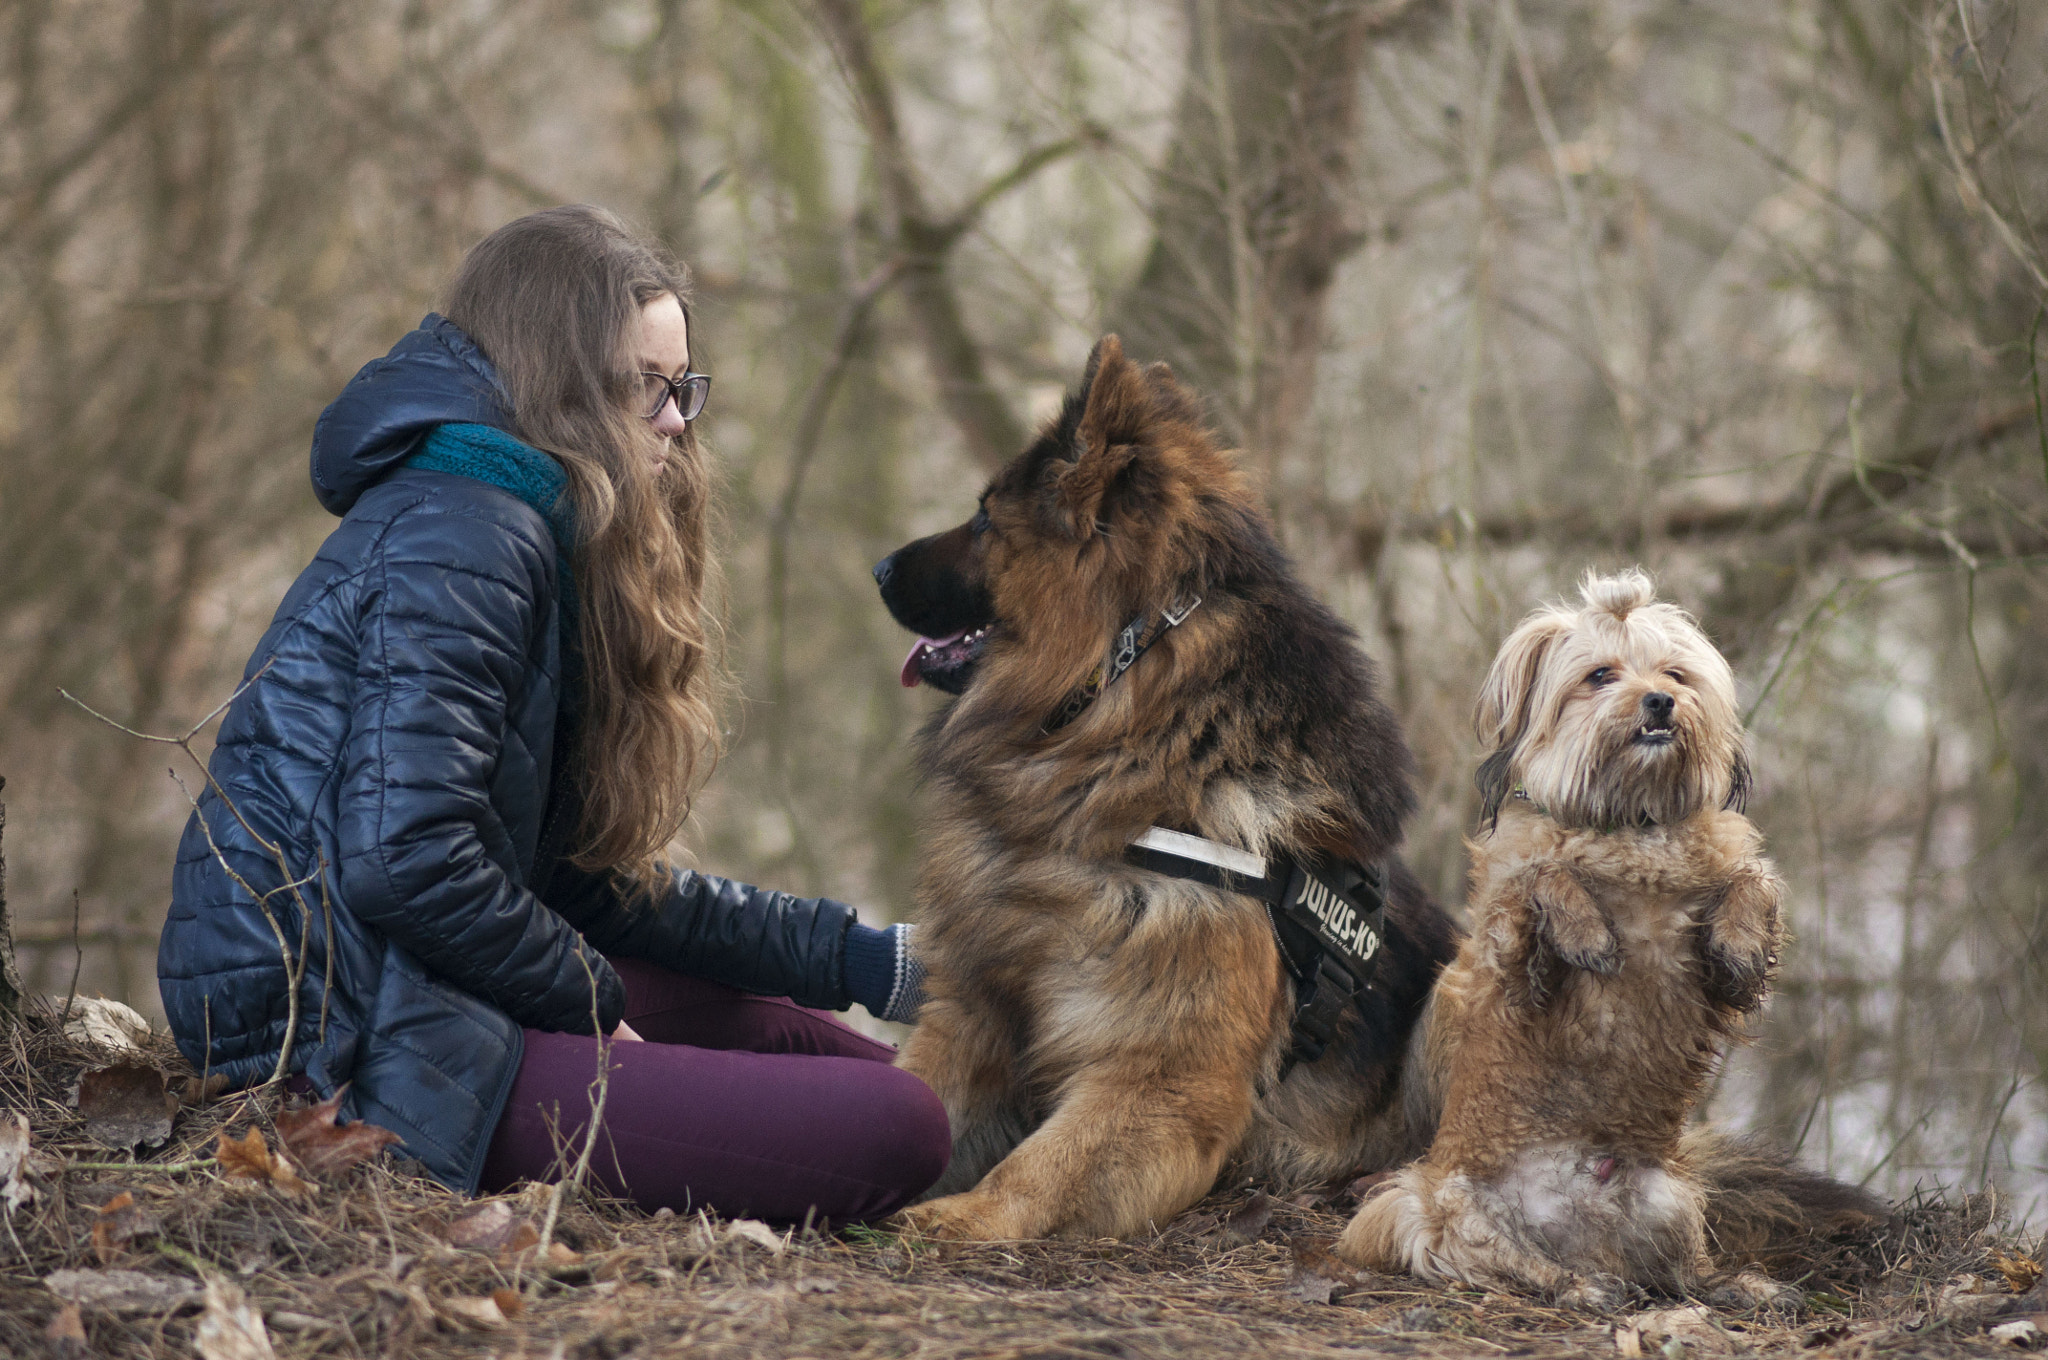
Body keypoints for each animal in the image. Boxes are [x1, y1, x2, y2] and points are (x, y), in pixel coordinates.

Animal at [872, 333, 1466, 1237]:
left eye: (982, 520)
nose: (876, 568)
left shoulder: (1165, 1080)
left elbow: (1040, 1165)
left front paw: (964, 1216)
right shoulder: (975, 1008)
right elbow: (913, 1096)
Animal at [1335, 569, 1875, 1310]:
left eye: (1675, 673)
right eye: (1598, 676)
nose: (1659, 701)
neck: (1634, 825)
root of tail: (1576, 1225)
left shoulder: (1723, 944)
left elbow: (1752, 882)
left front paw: (1737, 944)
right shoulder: (1510, 966)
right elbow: (1544, 877)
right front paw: (1587, 930)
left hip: (1671, 1196)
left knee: (1681, 1274)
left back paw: (1740, 1287)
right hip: (1439, 1208)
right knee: (1509, 1263)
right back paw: (1576, 1287)